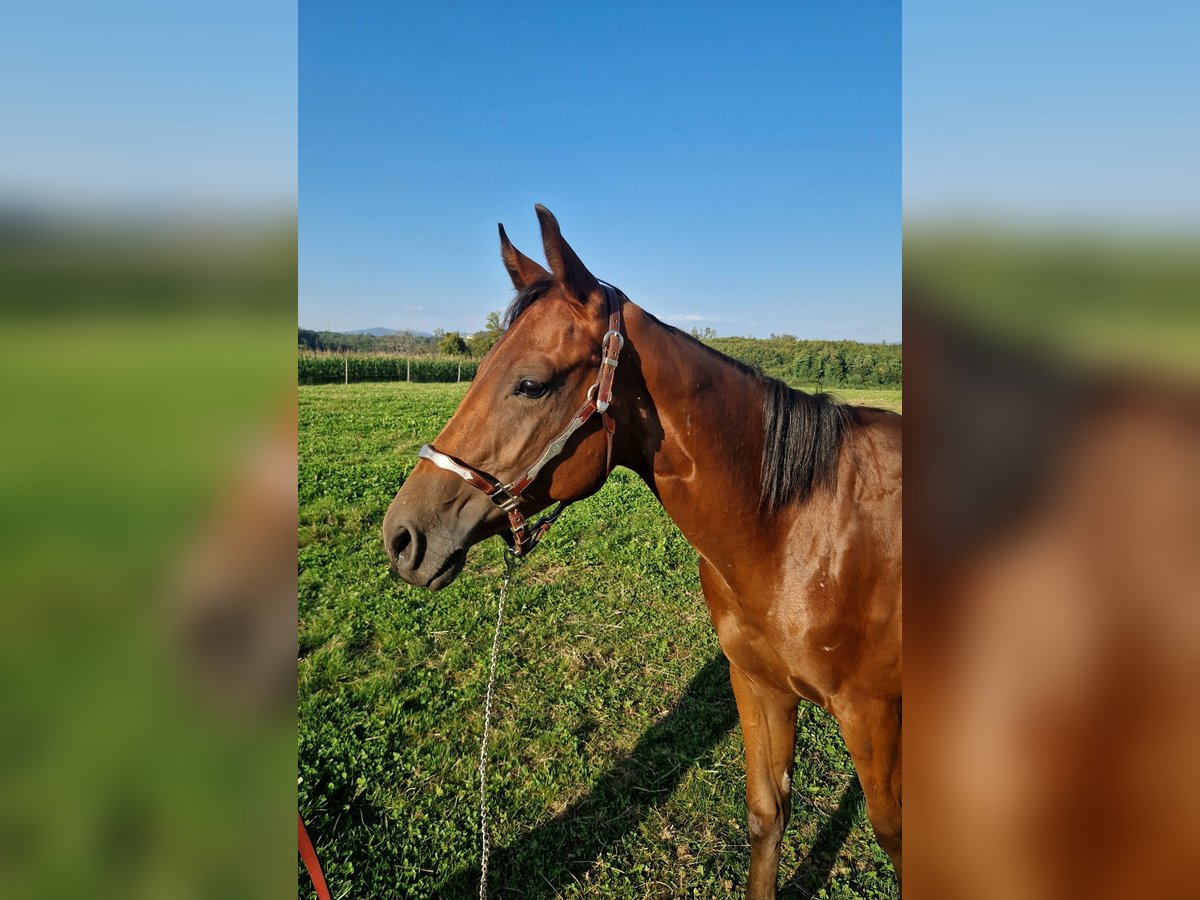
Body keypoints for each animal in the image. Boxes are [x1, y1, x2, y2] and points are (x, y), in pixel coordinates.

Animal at [383, 206, 902, 897]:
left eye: (531, 384)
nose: (401, 537)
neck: (796, 528)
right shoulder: (757, 685)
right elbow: (768, 814)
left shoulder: (873, 715)